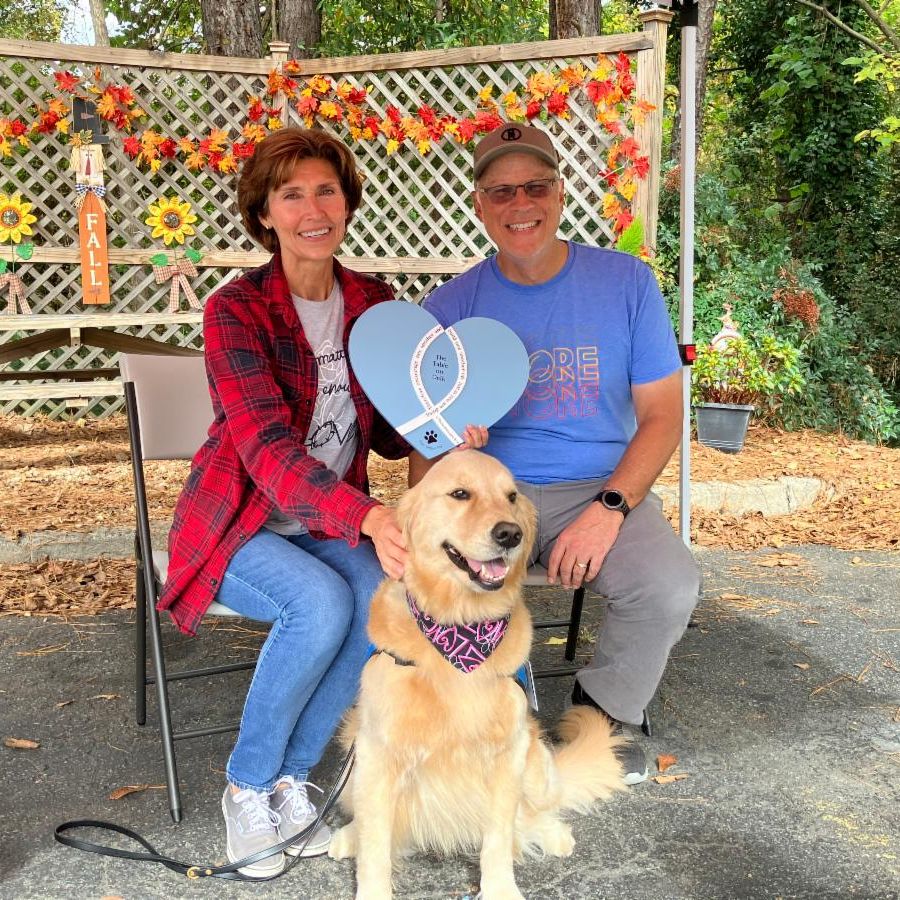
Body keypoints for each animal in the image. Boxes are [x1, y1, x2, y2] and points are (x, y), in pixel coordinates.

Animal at [329, 450, 624, 900]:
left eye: (511, 497)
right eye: (460, 494)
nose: (510, 534)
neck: (459, 631)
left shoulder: (508, 754)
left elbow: (499, 838)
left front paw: (500, 888)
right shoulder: (378, 751)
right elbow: (376, 843)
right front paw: (372, 888)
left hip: (534, 762)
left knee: (537, 811)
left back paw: (554, 834)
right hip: (353, 753)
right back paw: (348, 837)